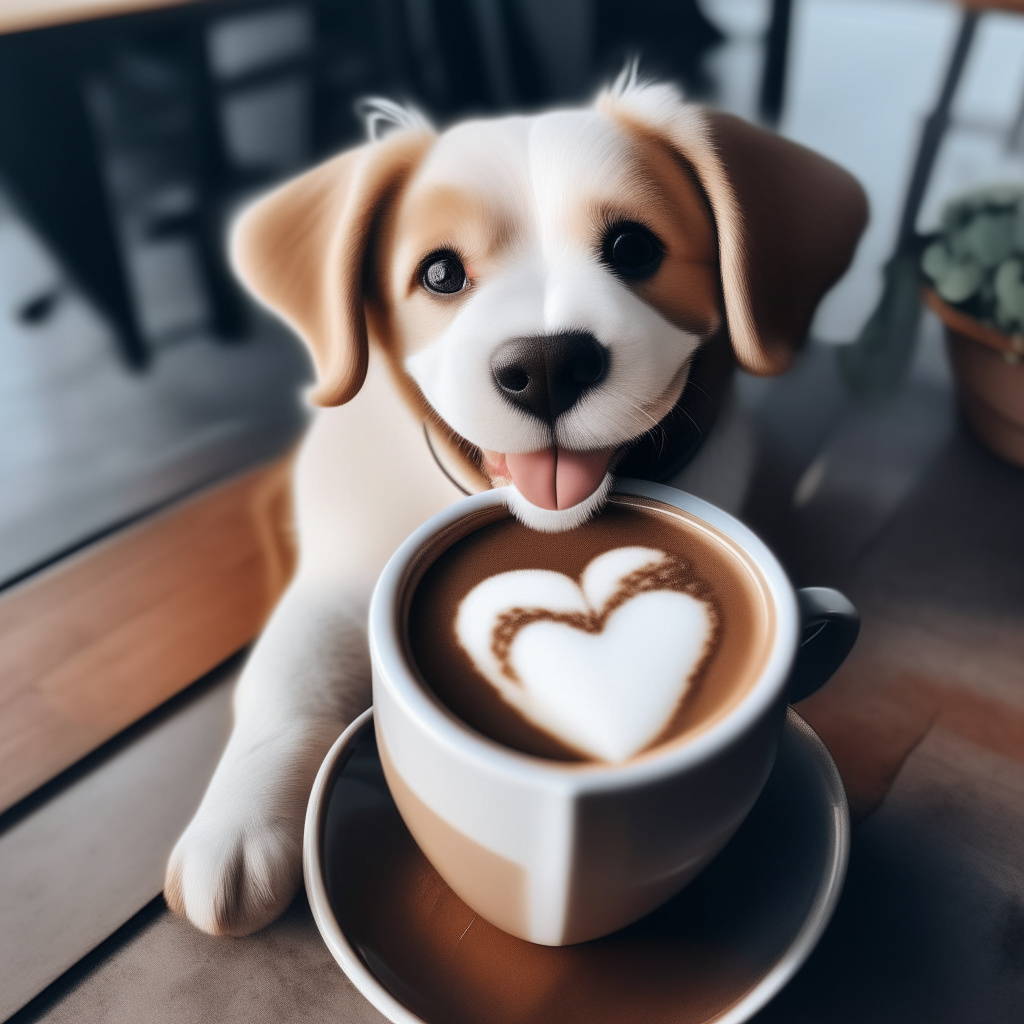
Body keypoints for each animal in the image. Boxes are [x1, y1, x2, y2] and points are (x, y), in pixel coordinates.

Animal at [165, 72, 864, 937]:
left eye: (634, 249)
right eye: (440, 274)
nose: (547, 365)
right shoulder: (336, 581)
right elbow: (284, 676)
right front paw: (238, 818)